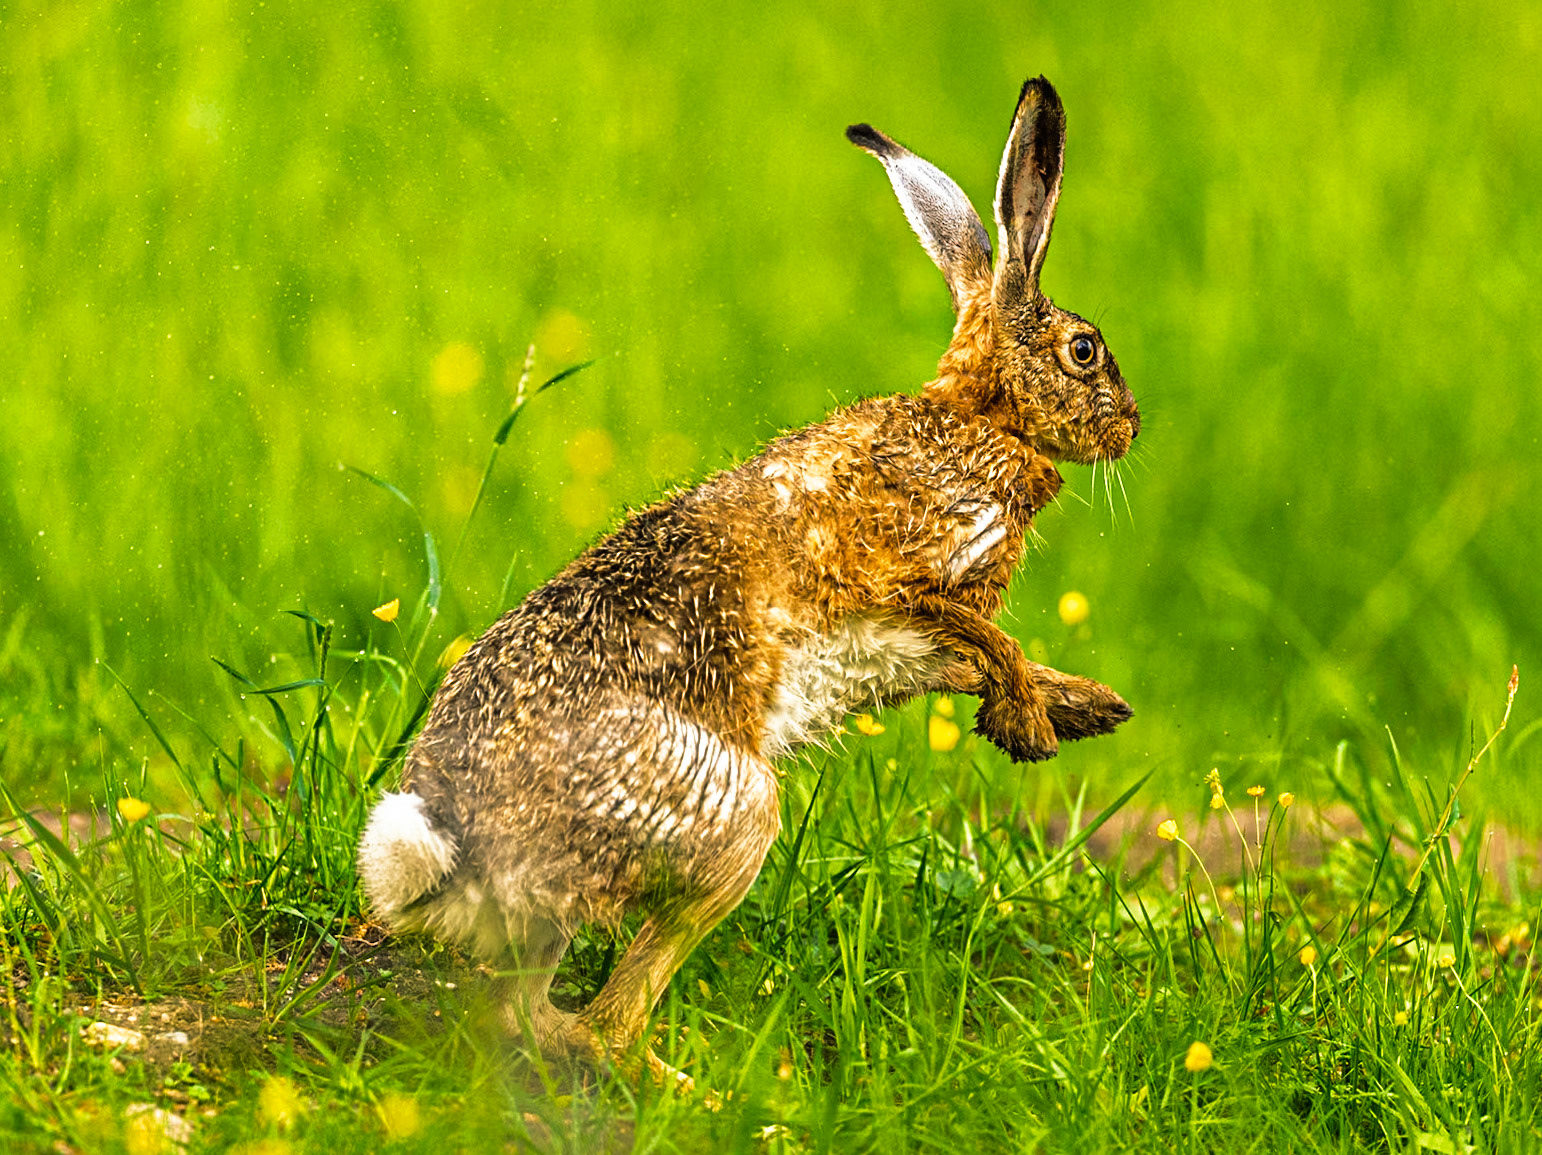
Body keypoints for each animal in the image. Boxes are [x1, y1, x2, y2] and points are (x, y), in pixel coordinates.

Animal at [358, 76, 1139, 1088]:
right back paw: (706, 1089)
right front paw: (1036, 727)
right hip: (730, 822)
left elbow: (986, 658)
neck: (985, 419)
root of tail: (451, 848)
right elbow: (988, 640)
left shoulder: (914, 646)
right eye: (1085, 350)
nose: (1131, 425)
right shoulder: (903, 580)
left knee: (521, 1012)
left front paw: (1086, 708)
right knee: (603, 1019)